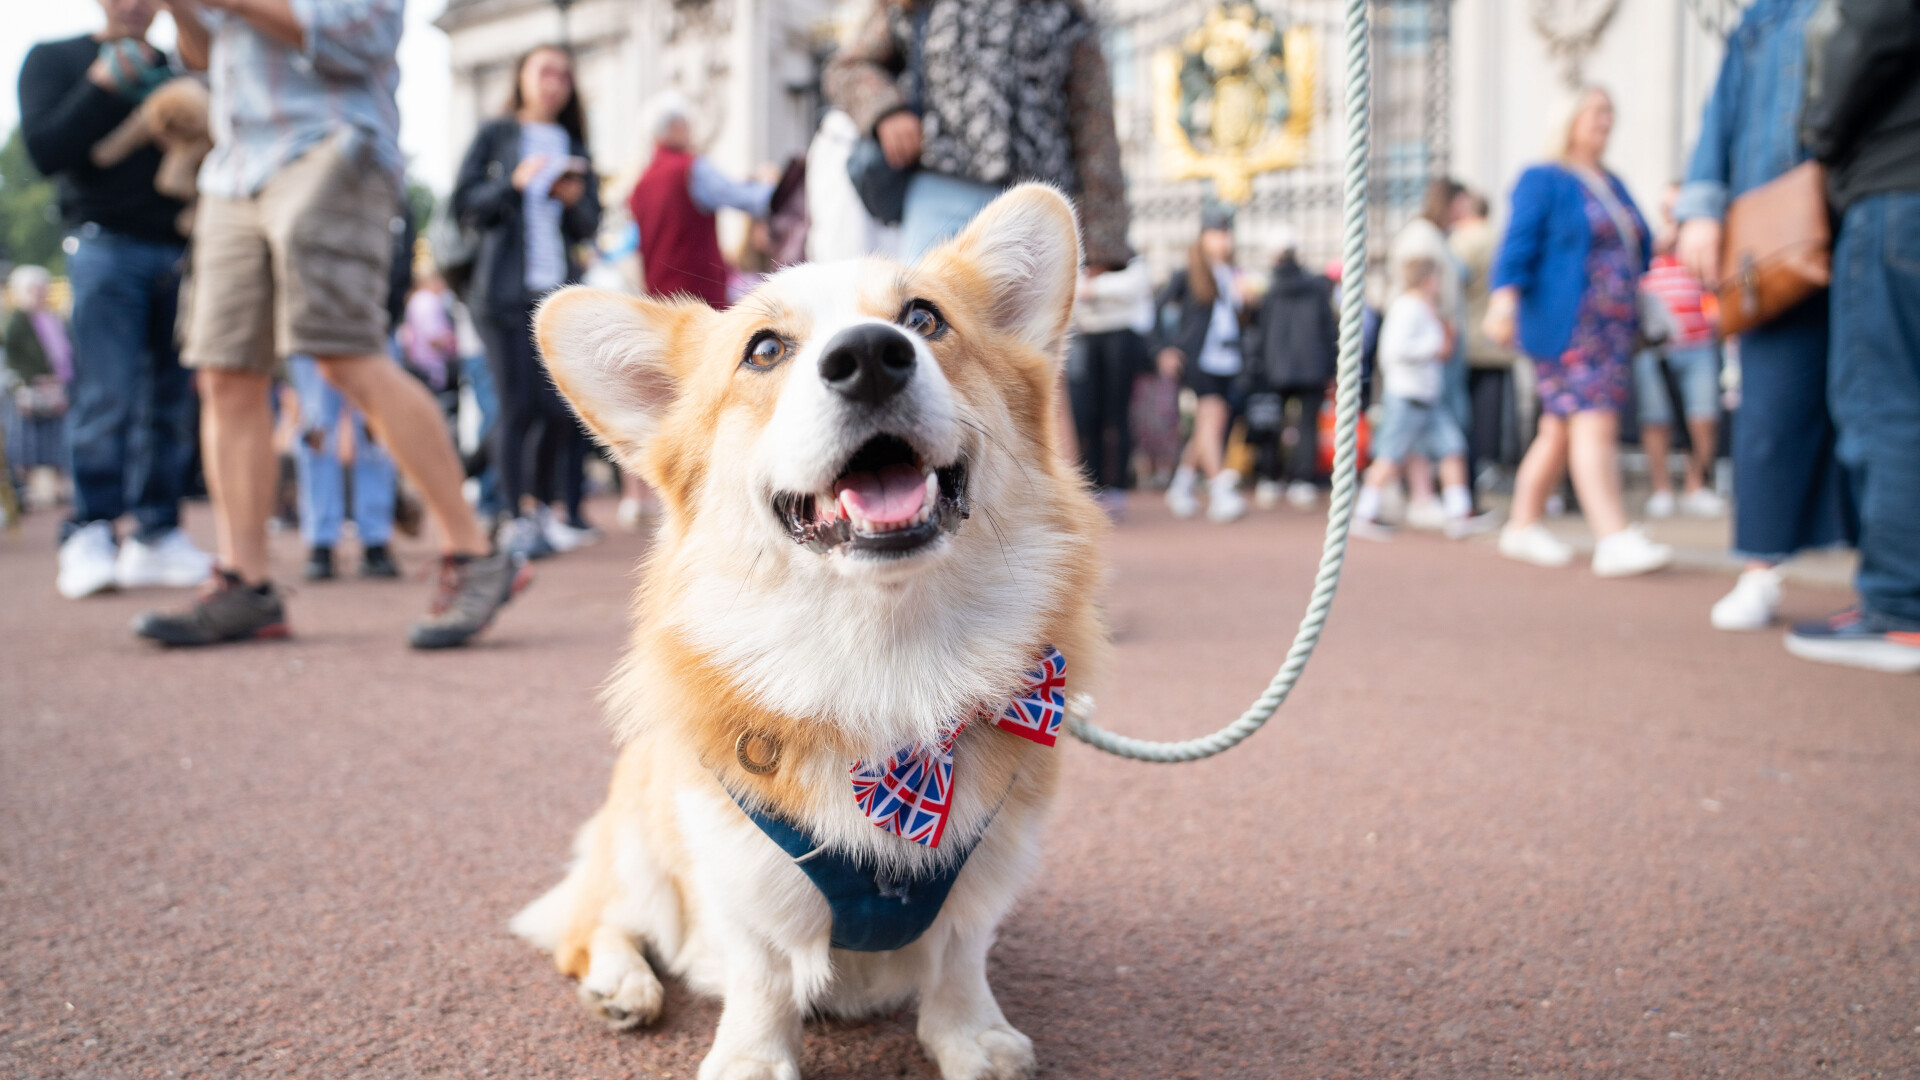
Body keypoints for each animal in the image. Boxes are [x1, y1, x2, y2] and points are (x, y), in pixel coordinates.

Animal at [510, 184, 1113, 1076]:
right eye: (764, 350)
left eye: (924, 318)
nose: (870, 355)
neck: (887, 655)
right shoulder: (739, 867)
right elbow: (761, 975)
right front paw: (752, 1061)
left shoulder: (992, 859)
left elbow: (961, 953)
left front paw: (971, 1038)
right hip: (642, 839)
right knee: (596, 922)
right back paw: (622, 982)